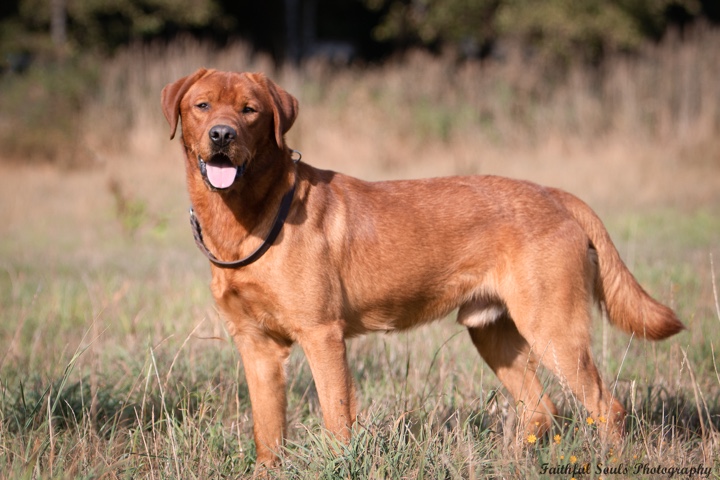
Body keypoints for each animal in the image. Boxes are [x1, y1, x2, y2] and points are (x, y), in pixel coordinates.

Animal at [160, 68, 684, 468]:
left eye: (249, 110)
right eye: (203, 105)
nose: (222, 135)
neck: (246, 217)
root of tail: (555, 194)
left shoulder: (322, 334)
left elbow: (337, 419)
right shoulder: (256, 347)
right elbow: (267, 433)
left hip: (554, 330)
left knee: (607, 407)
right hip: (494, 333)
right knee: (541, 409)